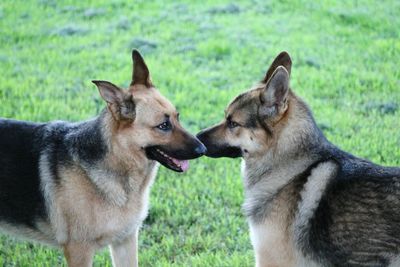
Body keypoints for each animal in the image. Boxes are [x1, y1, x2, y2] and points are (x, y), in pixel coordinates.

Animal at [0, 49, 206, 266]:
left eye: (177, 117)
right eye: (163, 126)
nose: (203, 148)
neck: (118, 161)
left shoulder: (125, 241)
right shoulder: (79, 251)